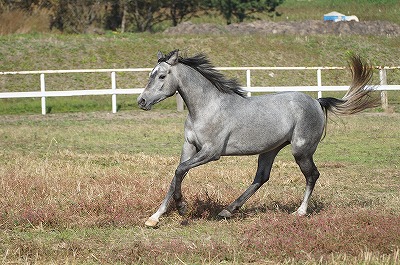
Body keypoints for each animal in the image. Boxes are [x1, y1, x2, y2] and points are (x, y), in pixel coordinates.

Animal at [138, 50, 378, 227]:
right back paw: (228, 210)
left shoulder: (211, 152)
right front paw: (154, 217)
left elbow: (179, 171)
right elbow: (176, 175)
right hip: (270, 149)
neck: (208, 107)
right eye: (150, 74)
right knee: (261, 177)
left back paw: (299, 212)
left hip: (301, 151)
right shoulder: (189, 147)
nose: (141, 101)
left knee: (312, 175)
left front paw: (182, 207)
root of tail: (317, 101)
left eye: (161, 76)